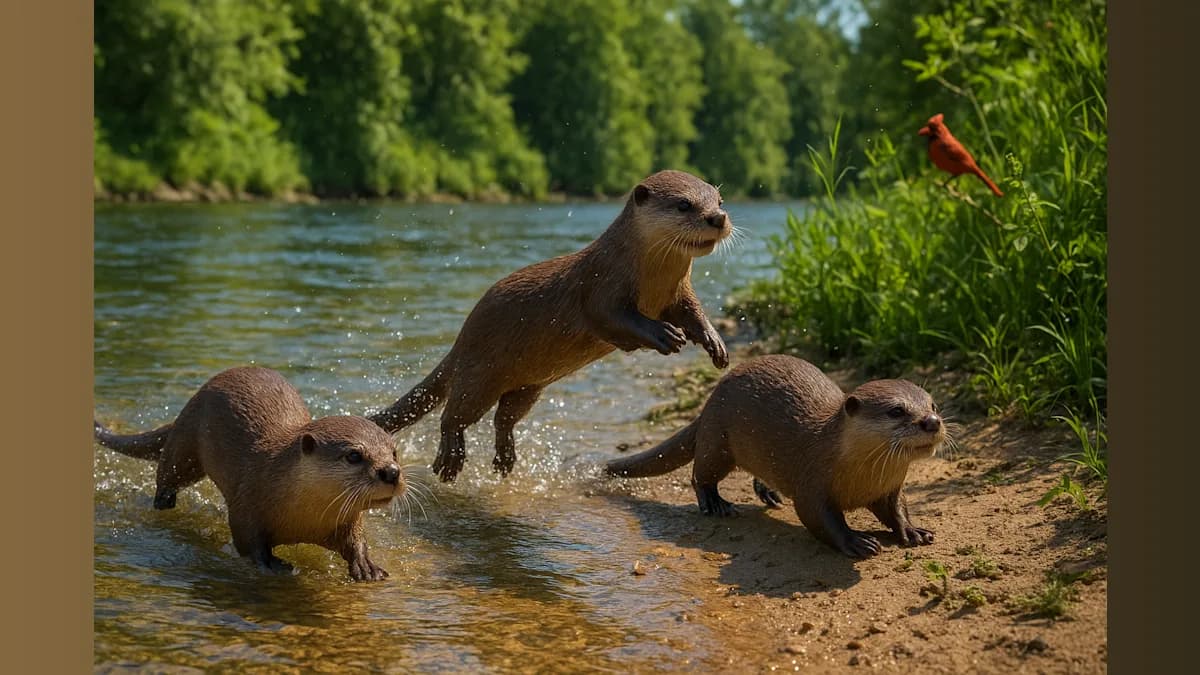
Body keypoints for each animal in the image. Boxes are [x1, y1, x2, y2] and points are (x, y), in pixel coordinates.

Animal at [94, 366, 406, 581]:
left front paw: (366, 566)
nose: (391, 472)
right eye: (354, 455)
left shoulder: (347, 520)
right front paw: (271, 564)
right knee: (168, 475)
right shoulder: (246, 506)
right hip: (185, 445)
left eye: (394, 452)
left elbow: (355, 541)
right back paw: (163, 503)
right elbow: (249, 543)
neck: (303, 519)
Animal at [370, 170, 732, 482]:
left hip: (528, 387)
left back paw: (505, 459)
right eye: (684, 204)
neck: (651, 281)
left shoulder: (679, 293)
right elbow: (612, 318)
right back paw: (450, 459)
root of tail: (461, 339)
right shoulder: (601, 287)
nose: (718, 218)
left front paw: (714, 342)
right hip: (479, 373)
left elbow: (694, 313)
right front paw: (663, 334)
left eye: (719, 200)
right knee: (454, 415)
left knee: (504, 418)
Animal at [605, 355, 946, 558]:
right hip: (717, 440)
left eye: (933, 405)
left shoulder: (889, 488)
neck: (860, 478)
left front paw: (912, 530)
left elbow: (896, 509)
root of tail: (709, 401)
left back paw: (767, 492)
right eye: (897, 410)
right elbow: (819, 519)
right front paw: (855, 541)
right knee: (700, 474)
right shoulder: (812, 482)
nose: (932, 422)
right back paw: (716, 504)